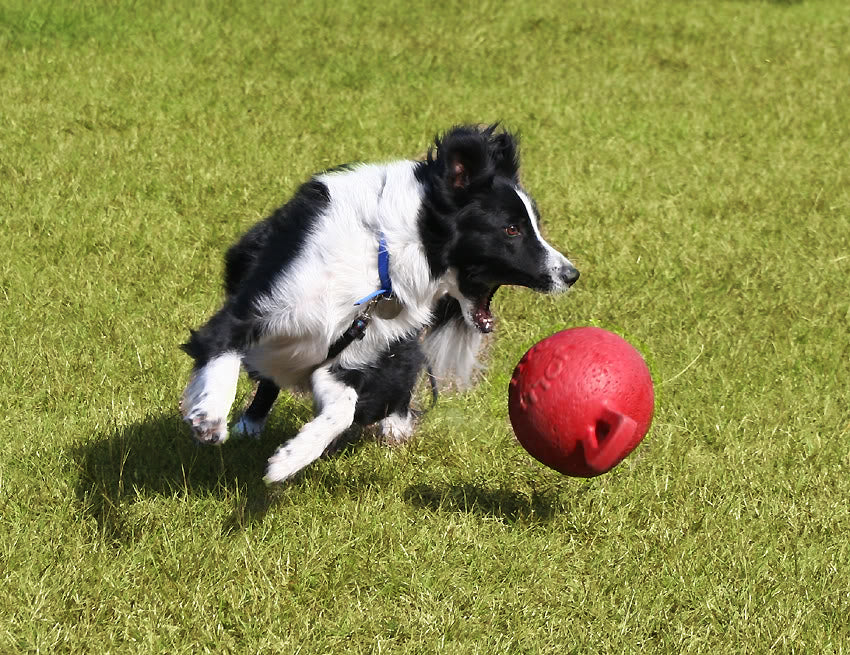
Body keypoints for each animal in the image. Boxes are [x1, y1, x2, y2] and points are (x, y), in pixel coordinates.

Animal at [179, 124, 576, 482]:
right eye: (511, 229)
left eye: (534, 225)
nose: (572, 274)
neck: (384, 264)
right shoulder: (258, 305)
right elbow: (222, 345)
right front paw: (210, 415)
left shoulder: (350, 356)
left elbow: (343, 409)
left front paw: (290, 458)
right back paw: (249, 422)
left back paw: (394, 428)